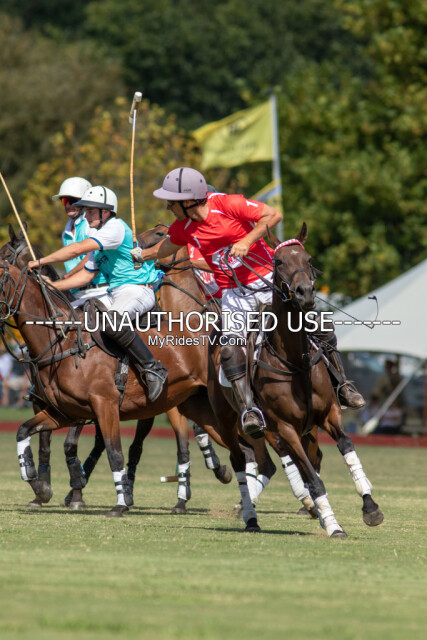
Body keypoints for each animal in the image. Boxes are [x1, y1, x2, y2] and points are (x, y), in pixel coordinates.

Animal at [207, 223, 384, 536]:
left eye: (309, 259)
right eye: (278, 261)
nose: (305, 293)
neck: (295, 361)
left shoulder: (330, 413)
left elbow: (347, 449)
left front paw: (369, 506)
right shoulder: (286, 428)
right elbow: (313, 478)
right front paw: (334, 526)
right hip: (232, 423)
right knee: (241, 460)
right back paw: (250, 517)